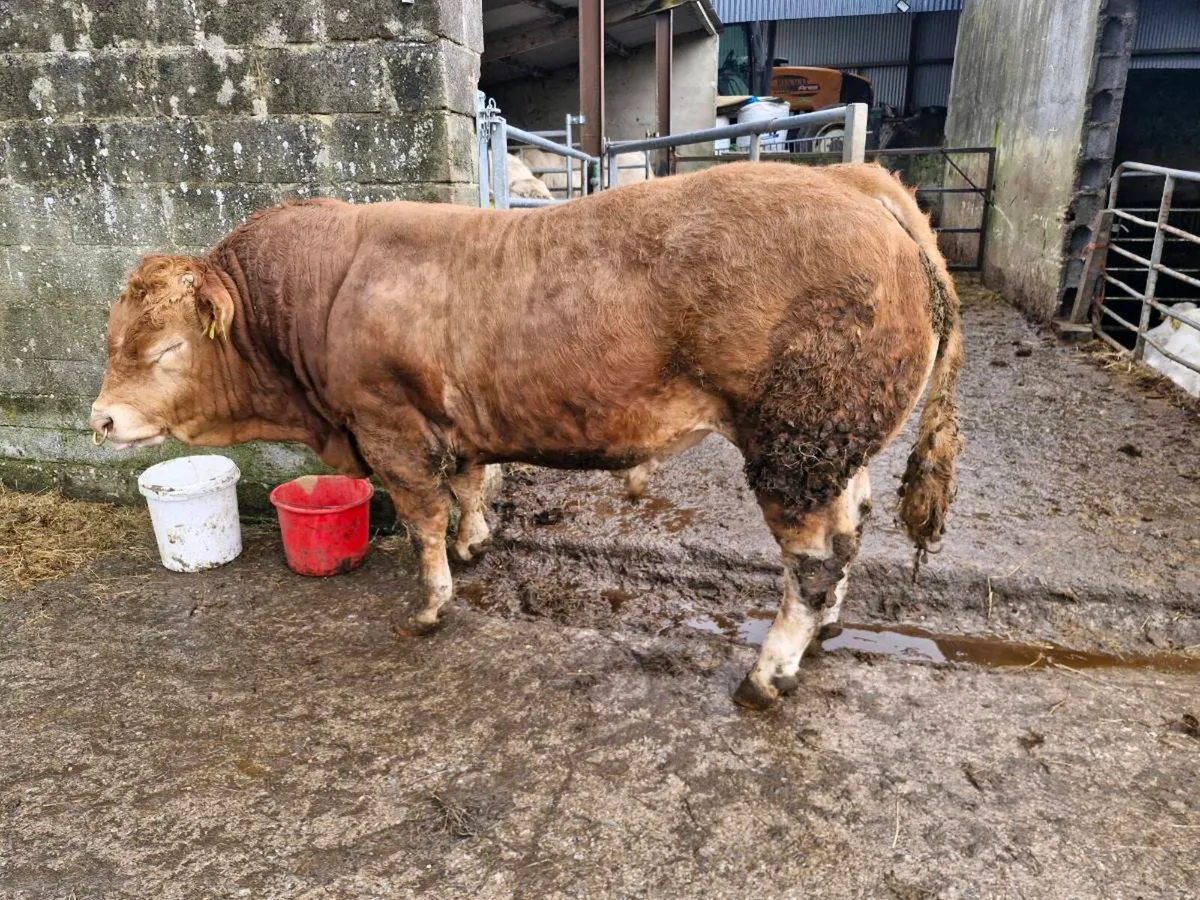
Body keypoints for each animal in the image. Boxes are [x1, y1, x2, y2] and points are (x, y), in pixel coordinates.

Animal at [89, 162, 963, 710]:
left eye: (165, 349)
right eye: (112, 336)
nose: (100, 419)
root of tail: (854, 182)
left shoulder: (387, 424)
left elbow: (422, 519)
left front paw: (432, 604)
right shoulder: (451, 423)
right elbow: (469, 484)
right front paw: (477, 543)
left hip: (790, 445)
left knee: (812, 562)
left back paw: (770, 673)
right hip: (832, 442)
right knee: (852, 528)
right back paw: (829, 628)